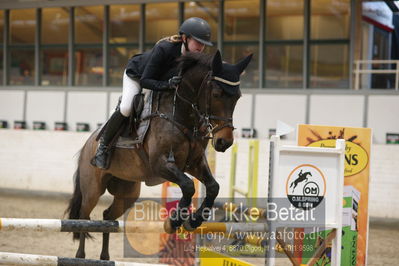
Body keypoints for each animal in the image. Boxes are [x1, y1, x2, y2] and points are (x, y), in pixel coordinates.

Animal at [67, 50, 252, 260]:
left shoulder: (194, 163)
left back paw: (105, 257)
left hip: (127, 193)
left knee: (107, 217)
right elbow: (188, 186)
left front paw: (193, 221)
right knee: (84, 217)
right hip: (93, 189)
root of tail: (88, 143)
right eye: (216, 94)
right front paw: (173, 221)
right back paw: (80, 255)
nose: (224, 142)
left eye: (238, 97)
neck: (182, 116)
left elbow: (213, 187)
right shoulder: (160, 164)